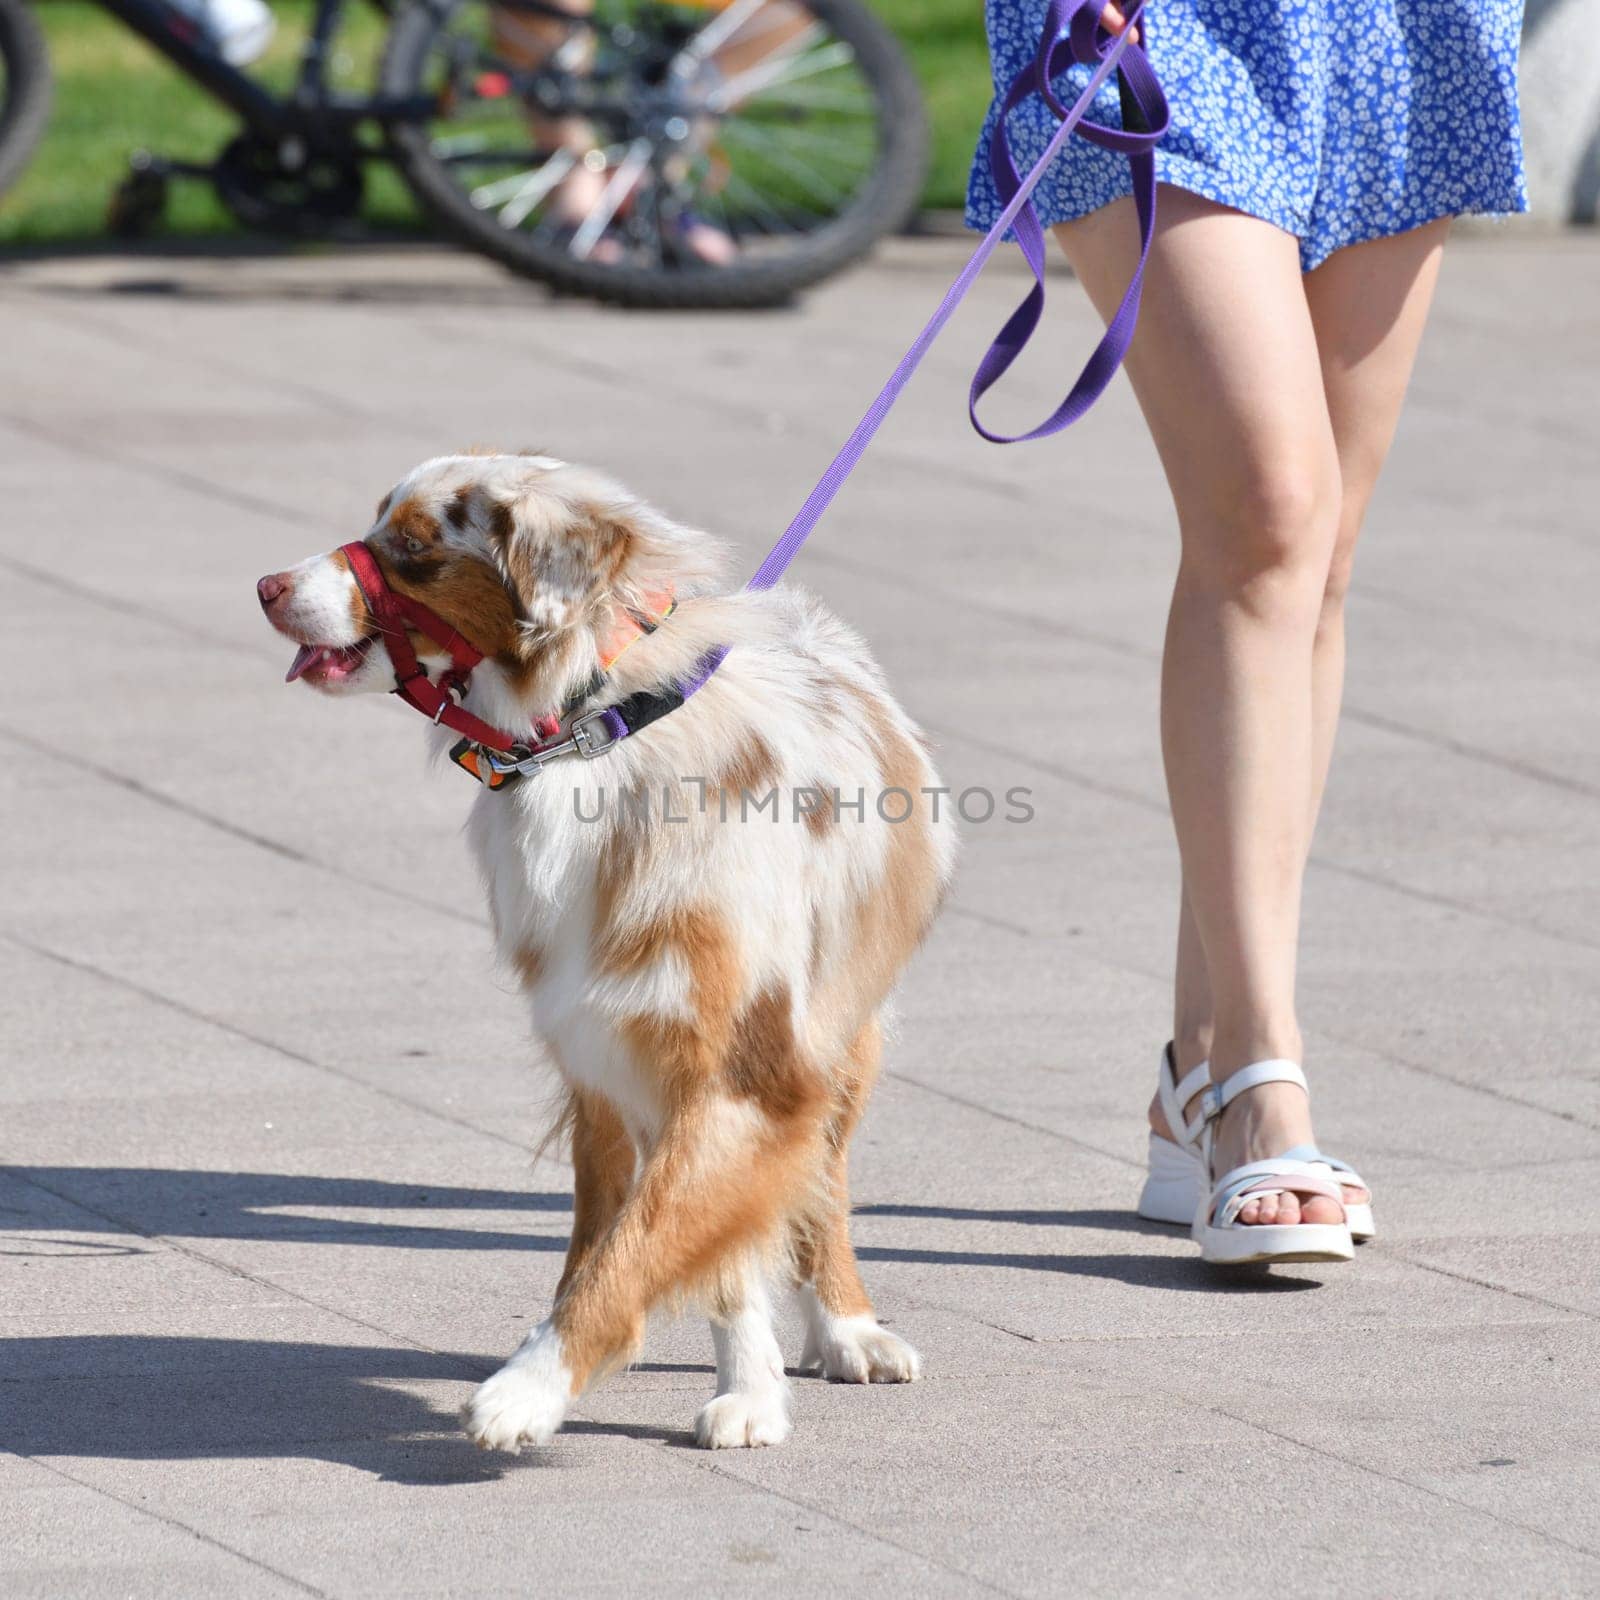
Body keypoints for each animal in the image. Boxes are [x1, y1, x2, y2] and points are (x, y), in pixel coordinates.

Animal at [257, 451, 953, 1452]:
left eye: (415, 547)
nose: (267, 586)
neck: (592, 733)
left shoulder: (749, 1067)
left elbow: (659, 1242)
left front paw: (527, 1391)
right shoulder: (624, 1049)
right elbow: (669, 1245)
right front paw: (744, 1389)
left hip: (838, 1039)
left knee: (820, 1180)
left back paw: (848, 1327)